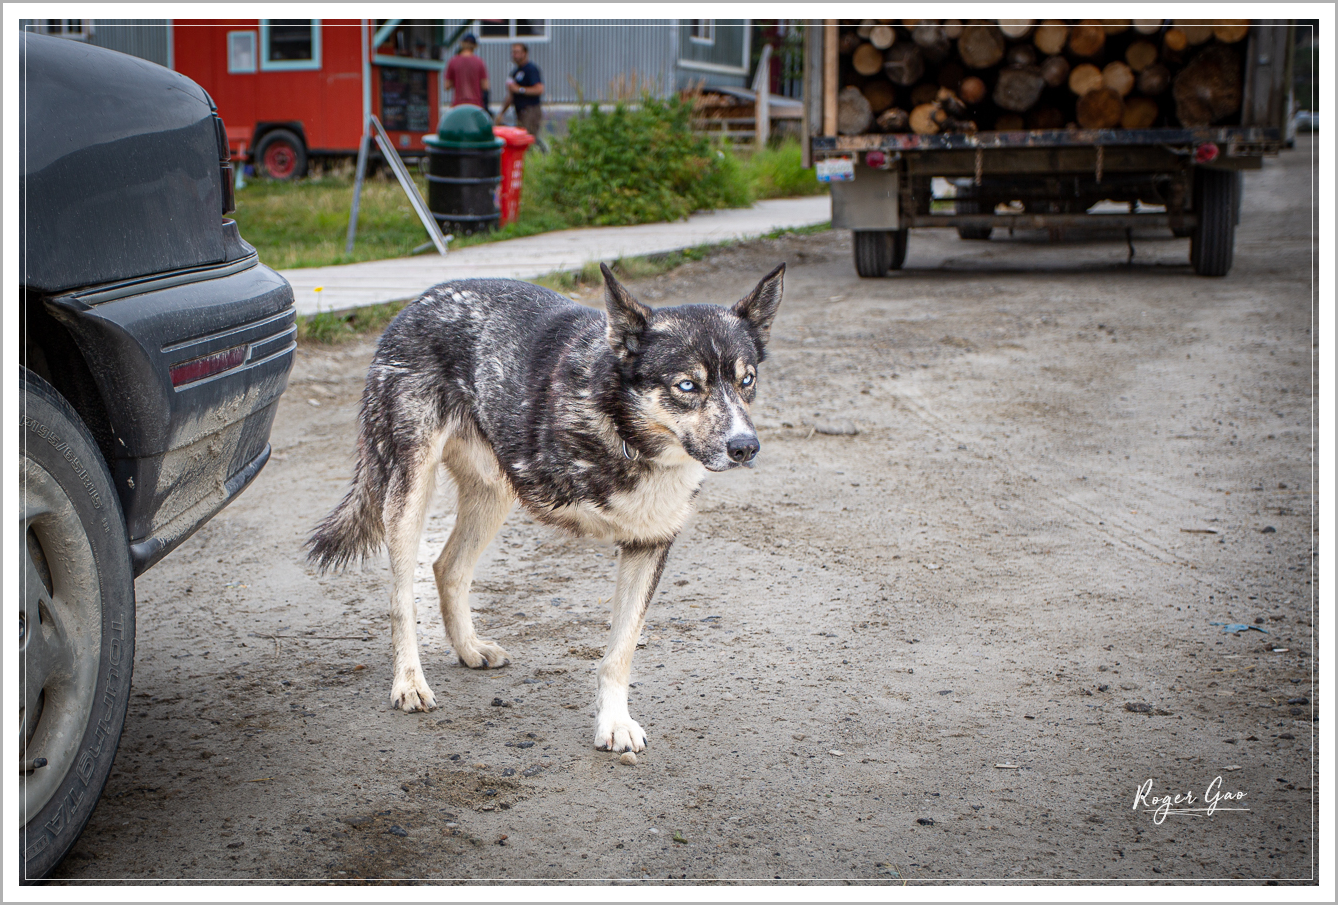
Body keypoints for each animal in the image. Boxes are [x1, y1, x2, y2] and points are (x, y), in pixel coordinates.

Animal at [306, 265, 781, 755]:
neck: (620, 427)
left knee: (447, 567)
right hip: (410, 492)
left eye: (746, 380)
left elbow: (621, 651)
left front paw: (614, 721)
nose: (745, 447)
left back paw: (468, 648)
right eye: (687, 385)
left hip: (493, 494)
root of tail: (417, 302)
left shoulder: (648, 544)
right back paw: (409, 682)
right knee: (402, 597)